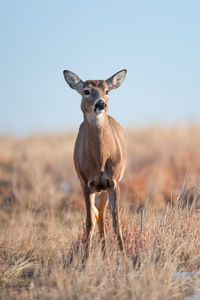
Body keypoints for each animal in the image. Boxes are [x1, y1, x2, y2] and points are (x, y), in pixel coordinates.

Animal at [63, 69, 127, 262]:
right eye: (86, 91)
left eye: (107, 90)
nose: (101, 104)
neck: (100, 161)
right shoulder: (86, 183)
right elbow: (89, 222)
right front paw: (85, 260)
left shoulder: (114, 182)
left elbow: (116, 222)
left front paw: (127, 259)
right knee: (97, 215)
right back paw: (103, 255)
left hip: (105, 187)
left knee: (101, 215)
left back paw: (106, 256)